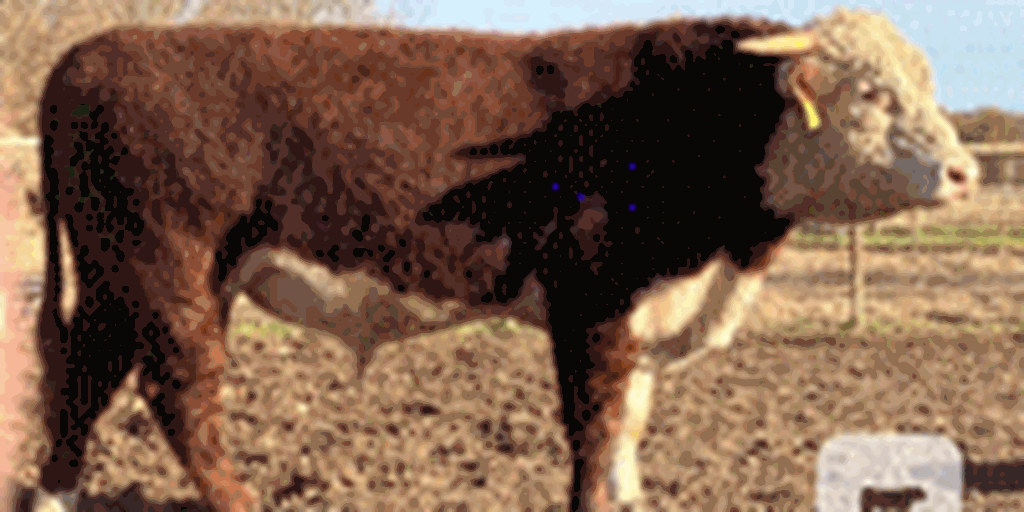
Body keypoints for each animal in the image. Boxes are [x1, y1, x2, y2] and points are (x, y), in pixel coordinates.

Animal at [30, 6, 978, 512]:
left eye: (927, 85)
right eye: (871, 93)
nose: (966, 171)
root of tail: (90, 50)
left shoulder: (647, 306)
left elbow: (631, 422)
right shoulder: (593, 301)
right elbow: (594, 422)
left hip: (120, 278)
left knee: (83, 383)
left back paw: (53, 494)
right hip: (172, 271)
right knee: (180, 395)